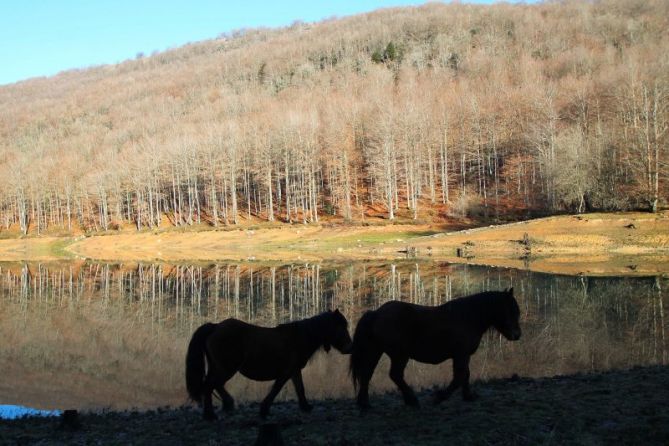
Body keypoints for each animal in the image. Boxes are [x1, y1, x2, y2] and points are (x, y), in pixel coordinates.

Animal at [185, 308, 352, 420]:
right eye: (341, 326)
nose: (350, 347)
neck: (299, 337)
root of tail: (215, 326)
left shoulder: (294, 371)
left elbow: (300, 389)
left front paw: (305, 407)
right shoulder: (286, 372)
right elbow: (276, 389)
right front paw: (264, 410)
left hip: (219, 367)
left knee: (214, 385)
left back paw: (227, 405)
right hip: (226, 368)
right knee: (209, 386)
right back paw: (210, 415)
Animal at [350, 290, 520, 412]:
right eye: (510, 310)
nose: (517, 335)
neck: (467, 318)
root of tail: (376, 313)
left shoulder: (463, 356)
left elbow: (465, 375)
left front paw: (468, 396)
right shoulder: (461, 355)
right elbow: (459, 377)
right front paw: (440, 397)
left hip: (376, 351)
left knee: (367, 374)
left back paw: (364, 403)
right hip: (399, 355)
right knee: (395, 375)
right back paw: (411, 400)